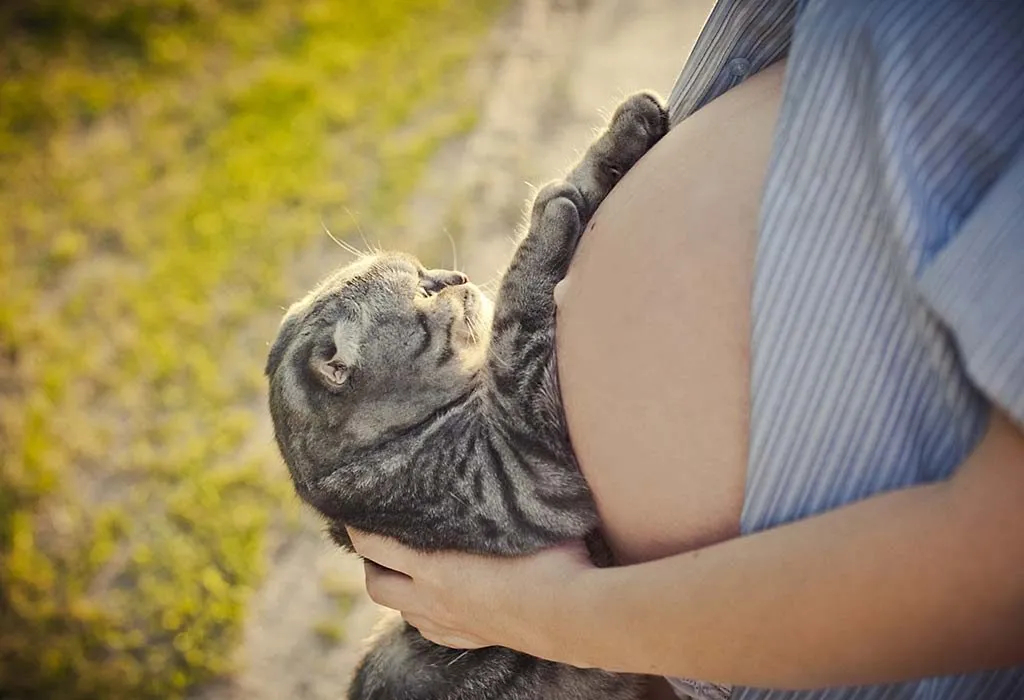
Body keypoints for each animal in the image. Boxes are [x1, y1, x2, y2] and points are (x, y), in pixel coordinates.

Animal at [266, 94, 663, 700]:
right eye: (425, 290)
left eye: (427, 270)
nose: (455, 275)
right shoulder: (521, 471)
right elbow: (516, 310)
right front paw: (550, 221)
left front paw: (615, 143)